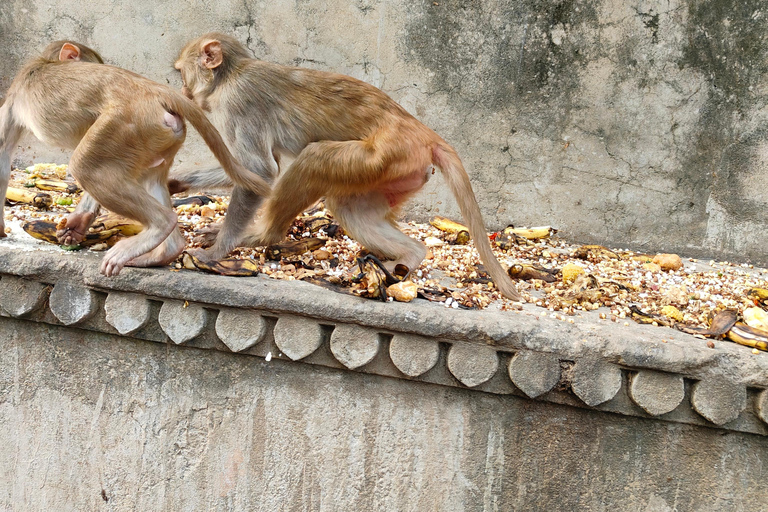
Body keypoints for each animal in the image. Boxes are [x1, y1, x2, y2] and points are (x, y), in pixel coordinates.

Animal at [0, 41, 270, 276]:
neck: (43, 62)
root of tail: (155, 90)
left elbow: (2, 155)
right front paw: (79, 221)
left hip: (126, 125)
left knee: (86, 166)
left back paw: (159, 227)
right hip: (160, 136)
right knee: (147, 178)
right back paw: (165, 251)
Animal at [174, 33, 520, 300]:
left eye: (180, 73)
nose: (183, 92)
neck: (230, 75)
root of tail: (425, 134)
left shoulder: (238, 102)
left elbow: (259, 172)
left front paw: (217, 252)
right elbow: (244, 171)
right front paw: (176, 183)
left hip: (385, 157)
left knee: (314, 159)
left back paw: (262, 235)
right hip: (397, 173)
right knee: (349, 207)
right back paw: (410, 255)